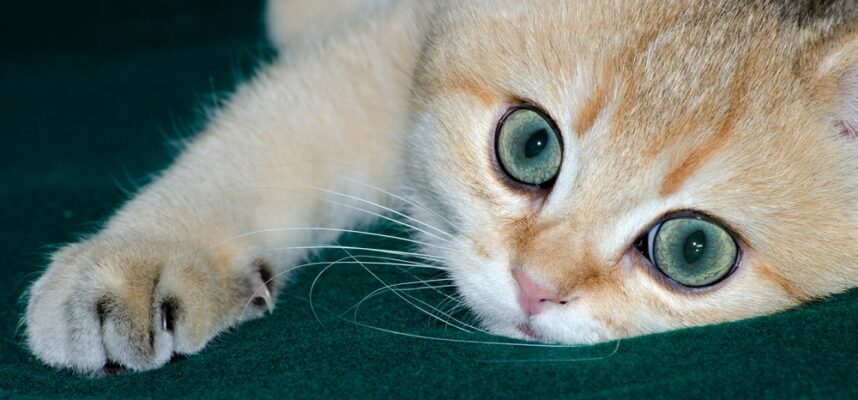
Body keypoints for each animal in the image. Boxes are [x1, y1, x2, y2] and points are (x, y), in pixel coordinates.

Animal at [21, 0, 858, 376]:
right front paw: (139, 256)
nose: (534, 288)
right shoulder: (400, 43)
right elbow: (278, 125)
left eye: (693, 250)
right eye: (530, 145)